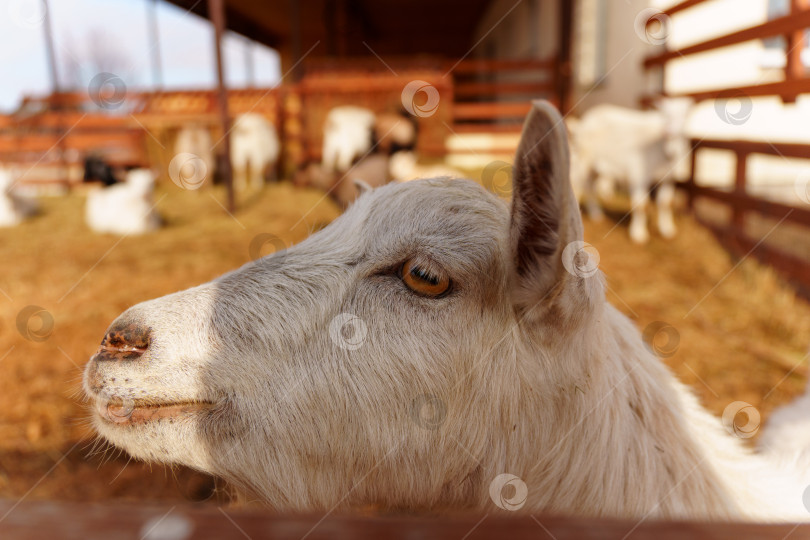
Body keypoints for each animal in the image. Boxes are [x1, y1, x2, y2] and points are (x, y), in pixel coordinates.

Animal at [568, 99, 688, 245]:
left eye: (686, 114)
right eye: (665, 114)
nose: (669, 131)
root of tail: (583, 122)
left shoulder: (668, 179)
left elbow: (666, 203)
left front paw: (667, 229)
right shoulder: (639, 176)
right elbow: (641, 205)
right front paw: (638, 234)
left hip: (595, 167)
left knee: (589, 187)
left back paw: (596, 214)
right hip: (583, 159)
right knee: (577, 185)